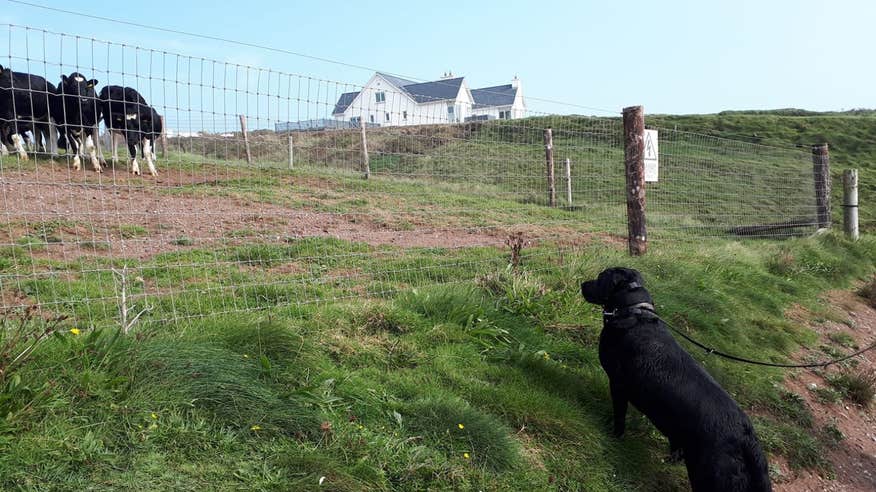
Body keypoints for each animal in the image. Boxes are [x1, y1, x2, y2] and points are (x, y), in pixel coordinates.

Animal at [584, 270, 768, 492]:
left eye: (600, 277)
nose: (582, 284)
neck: (635, 313)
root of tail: (746, 437)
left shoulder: (618, 385)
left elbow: (619, 417)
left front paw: (614, 435)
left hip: (709, 477)